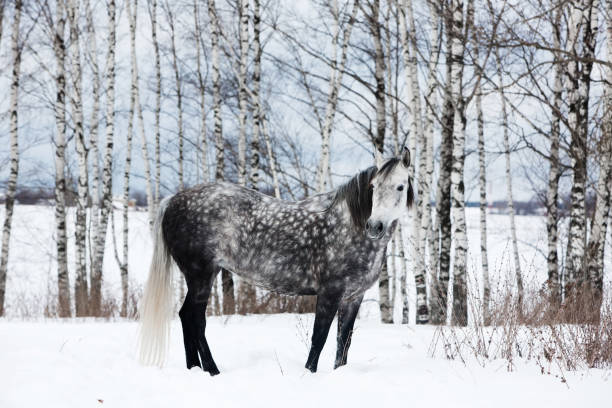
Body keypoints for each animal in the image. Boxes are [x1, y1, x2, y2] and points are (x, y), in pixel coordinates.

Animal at [138, 148, 414, 374]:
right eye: (373, 187)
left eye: (400, 187)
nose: (375, 226)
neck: (347, 226)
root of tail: (172, 200)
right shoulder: (330, 293)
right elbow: (319, 338)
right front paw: (308, 374)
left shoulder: (353, 297)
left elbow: (343, 344)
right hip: (201, 275)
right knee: (195, 320)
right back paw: (212, 370)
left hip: (201, 276)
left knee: (186, 317)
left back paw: (195, 369)